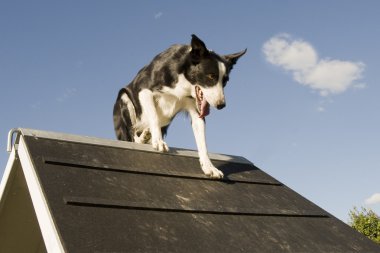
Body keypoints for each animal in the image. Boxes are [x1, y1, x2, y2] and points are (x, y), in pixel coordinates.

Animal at [112, 34, 246, 179]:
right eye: (211, 76)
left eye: (225, 81)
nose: (221, 105)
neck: (184, 78)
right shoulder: (144, 90)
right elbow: (154, 116)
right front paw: (158, 141)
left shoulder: (196, 110)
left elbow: (202, 143)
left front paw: (209, 167)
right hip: (124, 99)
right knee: (133, 136)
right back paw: (143, 138)